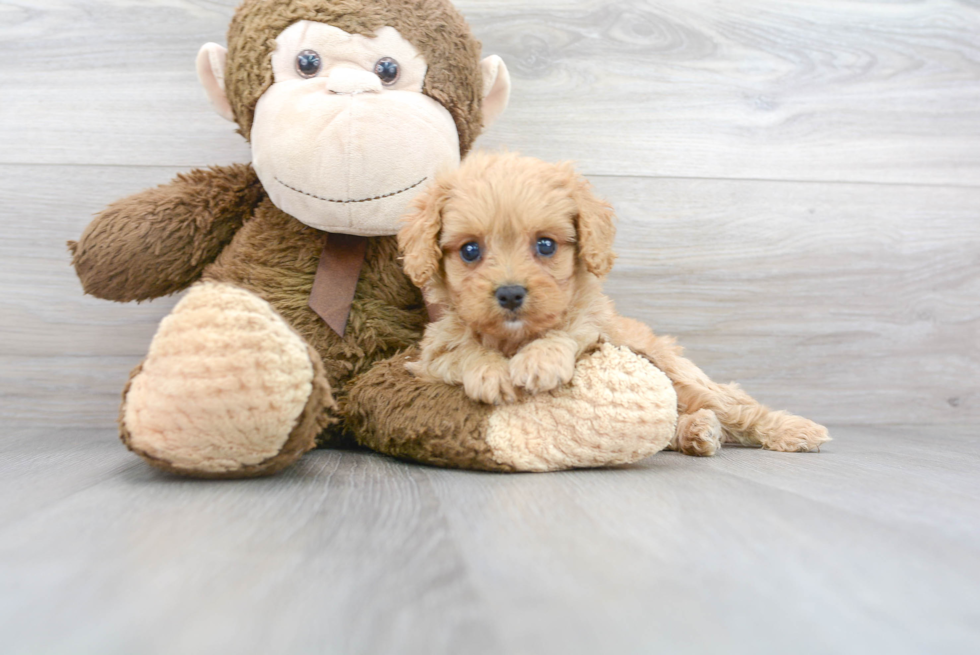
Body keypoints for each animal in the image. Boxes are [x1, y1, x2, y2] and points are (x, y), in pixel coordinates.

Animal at [398, 152, 828, 456]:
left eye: (545, 245)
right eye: (470, 251)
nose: (510, 294)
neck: (514, 338)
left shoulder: (598, 331)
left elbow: (570, 331)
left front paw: (540, 360)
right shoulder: (430, 355)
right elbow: (461, 350)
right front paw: (490, 372)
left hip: (680, 372)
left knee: (737, 409)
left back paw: (793, 430)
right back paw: (697, 431)